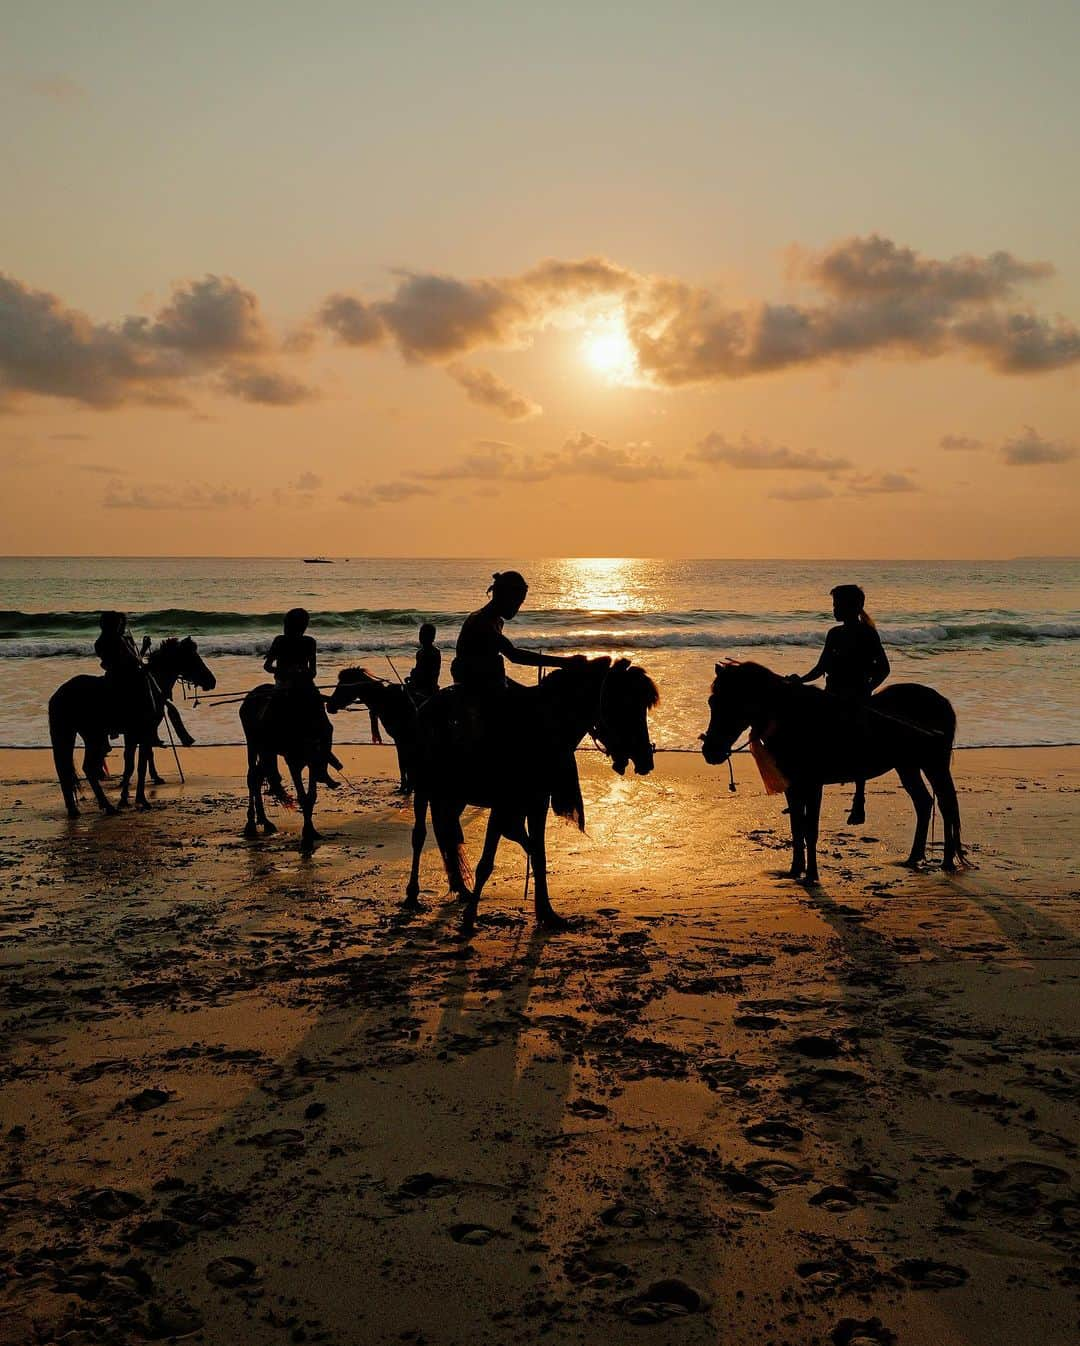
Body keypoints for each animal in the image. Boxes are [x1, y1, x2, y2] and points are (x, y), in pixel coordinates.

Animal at [48, 640, 215, 818]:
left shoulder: (133, 735)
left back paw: (75, 809)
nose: (212, 681)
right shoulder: (143, 733)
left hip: (71, 734)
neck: (151, 685)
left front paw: (125, 797)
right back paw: (107, 806)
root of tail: (57, 695)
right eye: (192, 658)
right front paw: (141, 799)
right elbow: (140, 765)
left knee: (65, 769)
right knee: (88, 768)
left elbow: (131, 765)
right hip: (93, 736)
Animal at [409, 654, 657, 931]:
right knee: (420, 835)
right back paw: (413, 894)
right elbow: (486, 862)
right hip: (424, 785)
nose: (646, 758)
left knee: (449, 833)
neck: (543, 728)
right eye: (624, 705)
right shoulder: (503, 804)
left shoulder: (537, 803)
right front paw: (469, 918)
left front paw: (547, 912)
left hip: (455, 794)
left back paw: (461, 889)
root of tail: (426, 706)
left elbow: (539, 855)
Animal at [700, 659, 964, 882]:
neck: (793, 718)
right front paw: (795, 870)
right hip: (907, 766)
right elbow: (797, 827)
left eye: (733, 703)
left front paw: (812, 875)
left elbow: (810, 829)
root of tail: (941, 702)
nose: (710, 751)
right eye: (712, 702)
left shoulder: (813, 784)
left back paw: (947, 862)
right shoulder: (793, 786)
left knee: (946, 805)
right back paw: (913, 858)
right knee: (924, 803)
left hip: (934, 765)